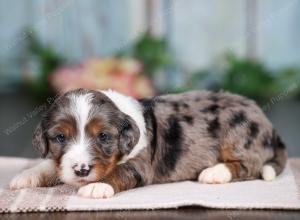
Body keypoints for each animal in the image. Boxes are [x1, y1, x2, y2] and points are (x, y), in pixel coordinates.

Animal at [9, 88, 288, 199]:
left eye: (104, 137)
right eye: (60, 138)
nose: (81, 170)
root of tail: (269, 124)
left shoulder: (140, 164)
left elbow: (119, 171)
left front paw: (97, 186)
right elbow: (50, 165)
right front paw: (26, 176)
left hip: (239, 134)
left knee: (250, 166)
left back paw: (214, 172)